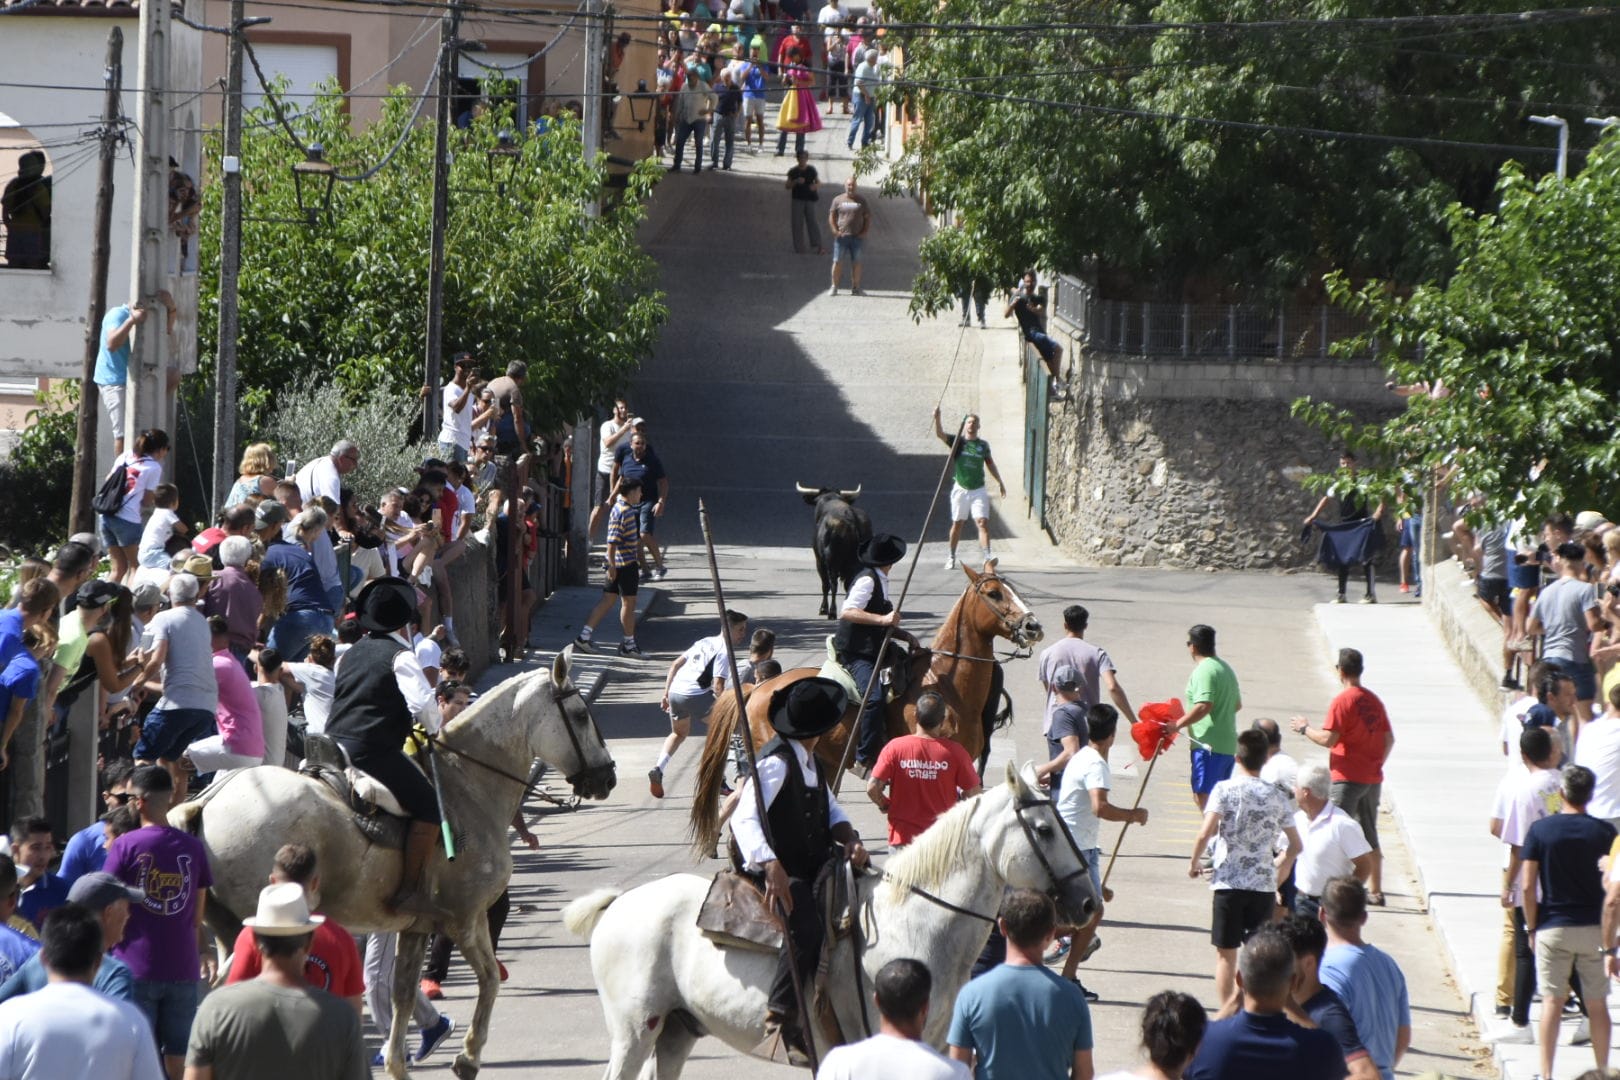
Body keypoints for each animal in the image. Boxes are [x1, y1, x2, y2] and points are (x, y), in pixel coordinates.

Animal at [170, 650, 612, 1080]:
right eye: (580, 715)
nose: (607, 777)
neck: (467, 784)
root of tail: (208, 801)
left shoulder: (416, 927)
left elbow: (401, 994)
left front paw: (400, 1062)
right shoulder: (465, 918)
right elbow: (488, 978)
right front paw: (468, 1057)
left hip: (228, 929)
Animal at [560, 764, 1101, 1075]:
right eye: (1043, 828)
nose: (1090, 903)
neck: (914, 926)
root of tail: (619, 904)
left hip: (676, 1032)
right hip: (634, 1032)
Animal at [797, 485, 874, 621]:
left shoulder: (819, 561)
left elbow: (825, 585)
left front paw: (823, 609)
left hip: (831, 562)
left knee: (832, 584)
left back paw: (832, 612)